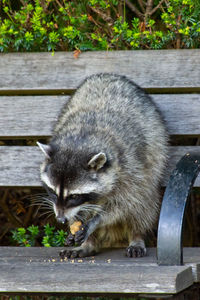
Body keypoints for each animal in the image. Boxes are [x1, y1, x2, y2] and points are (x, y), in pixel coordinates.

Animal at [36, 72, 168, 258]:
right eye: (53, 192)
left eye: (74, 196)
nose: (61, 219)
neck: (80, 141)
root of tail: (109, 74)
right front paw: (78, 221)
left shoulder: (129, 168)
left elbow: (124, 204)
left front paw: (95, 221)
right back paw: (89, 244)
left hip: (152, 160)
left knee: (143, 204)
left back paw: (136, 234)